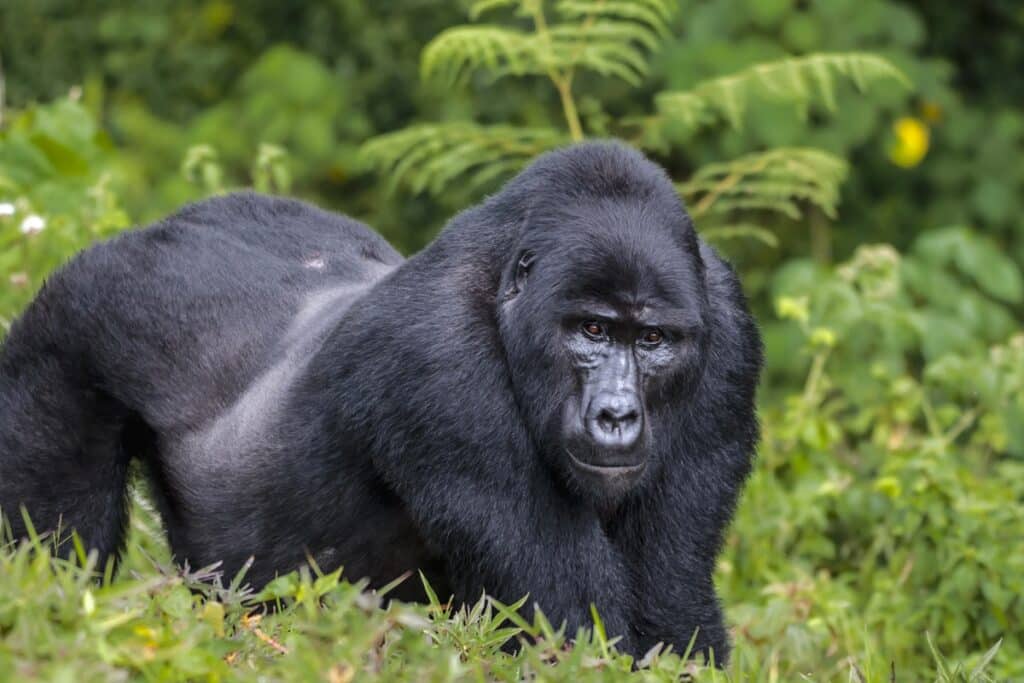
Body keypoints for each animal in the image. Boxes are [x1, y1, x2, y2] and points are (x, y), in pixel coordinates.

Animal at [0, 140, 761, 663]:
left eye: (653, 340)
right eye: (593, 330)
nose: (616, 414)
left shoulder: (727, 337)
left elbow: (669, 613)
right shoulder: (440, 368)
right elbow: (571, 631)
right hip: (73, 315)